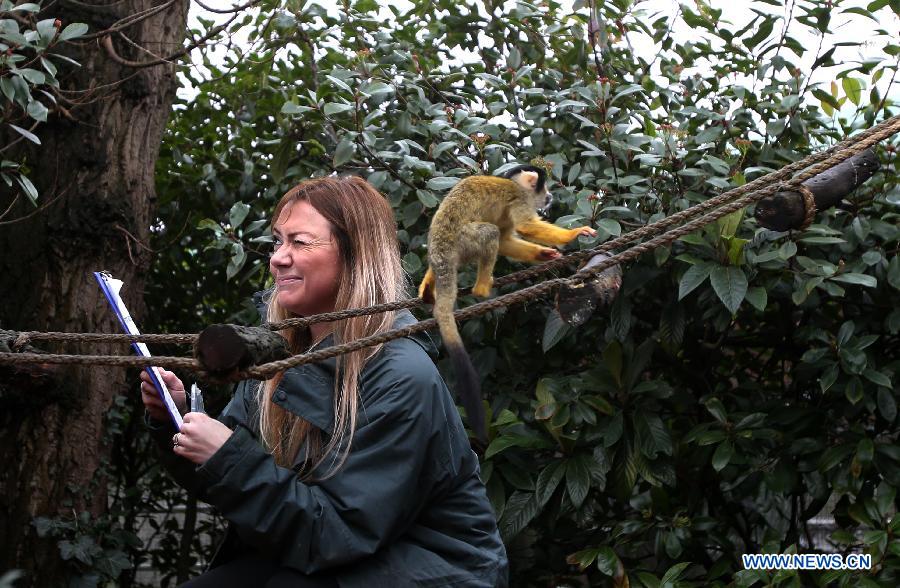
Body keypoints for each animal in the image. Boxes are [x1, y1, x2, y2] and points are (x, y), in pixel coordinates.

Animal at [420, 165, 596, 440]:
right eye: (544, 188)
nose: (549, 197)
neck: (515, 185)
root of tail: (441, 250)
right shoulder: (519, 199)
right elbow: (523, 226)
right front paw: (574, 233)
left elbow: (506, 240)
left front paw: (544, 253)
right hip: (462, 240)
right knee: (488, 233)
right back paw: (482, 288)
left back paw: (428, 287)